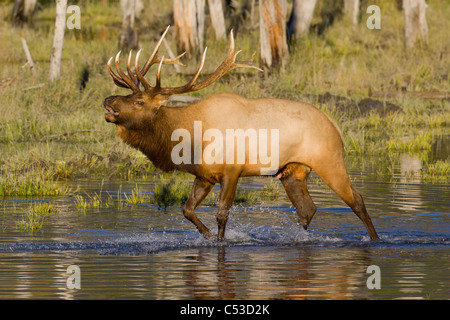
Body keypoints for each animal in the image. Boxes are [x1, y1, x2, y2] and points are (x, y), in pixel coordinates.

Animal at [104, 26, 380, 241]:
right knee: (308, 209)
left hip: (329, 160)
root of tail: (335, 125)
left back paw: (375, 240)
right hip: (293, 171)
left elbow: (222, 214)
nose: (108, 100)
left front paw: (219, 242)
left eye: (139, 101)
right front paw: (207, 236)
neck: (190, 139)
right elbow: (187, 210)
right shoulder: (204, 175)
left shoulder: (232, 170)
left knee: (357, 200)